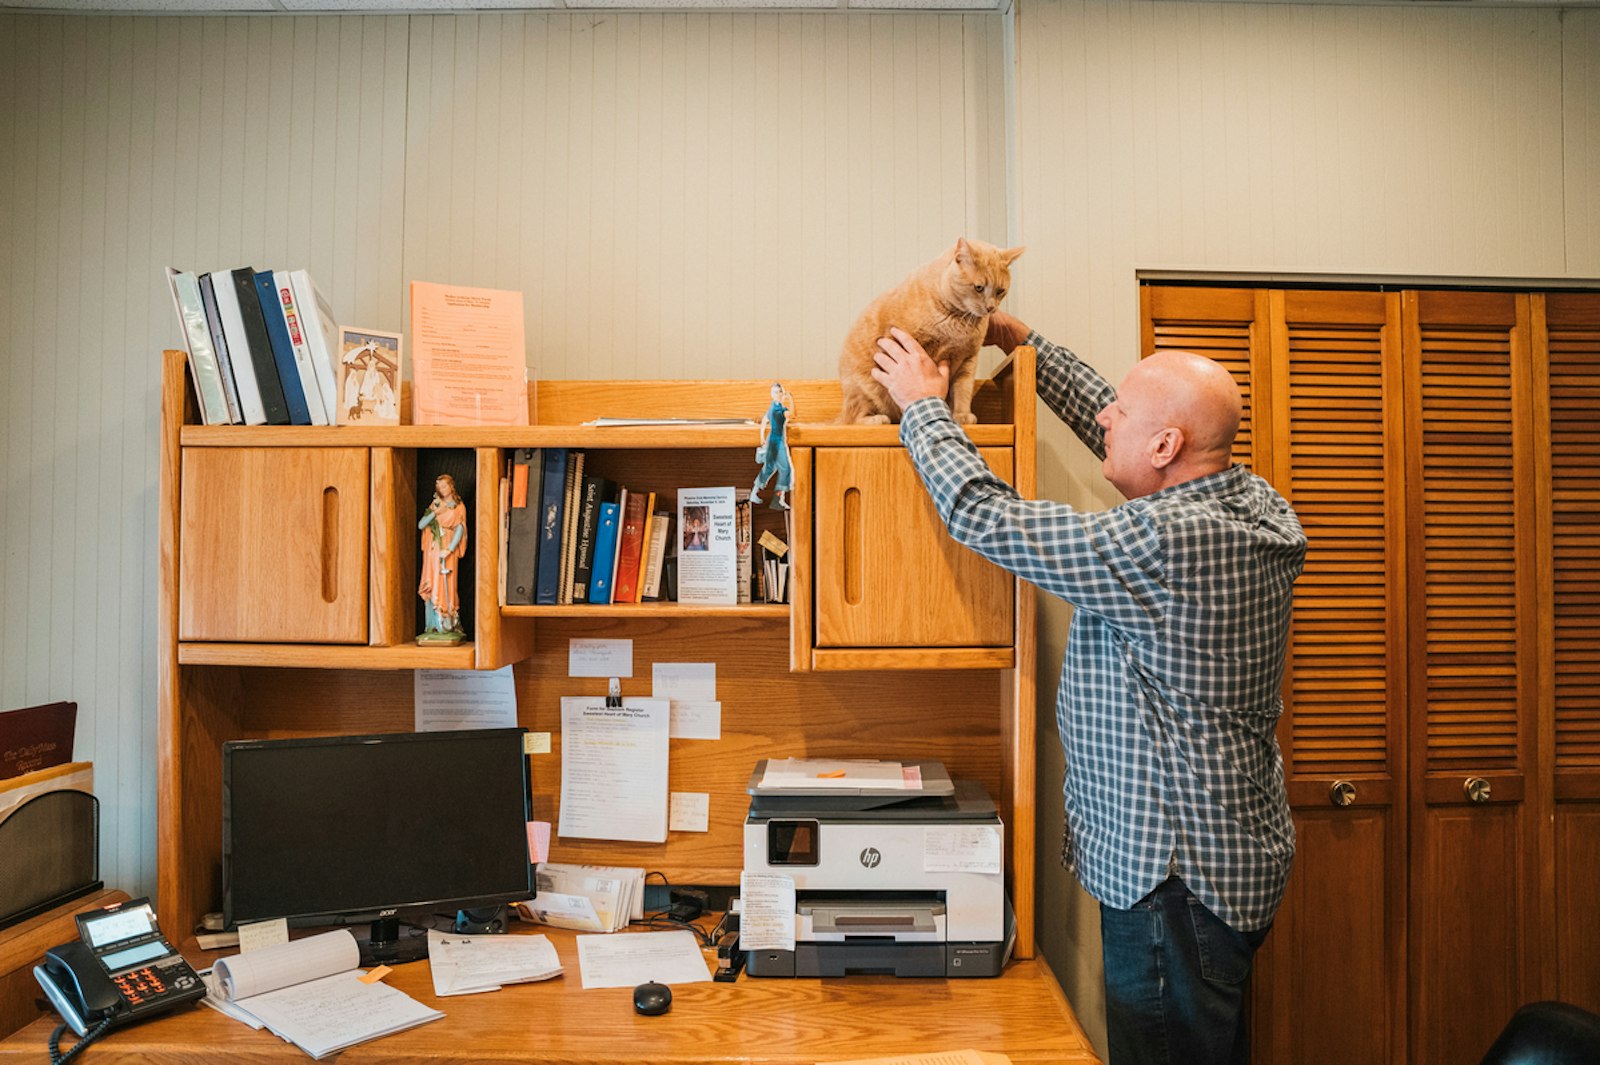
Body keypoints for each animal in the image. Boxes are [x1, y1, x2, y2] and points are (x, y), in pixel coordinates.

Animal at [838, 238, 1024, 425]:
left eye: (1000, 291)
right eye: (978, 288)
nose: (991, 308)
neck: (958, 321)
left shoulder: (968, 361)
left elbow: (963, 391)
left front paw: (961, 414)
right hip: (864, 391)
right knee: (853, 419)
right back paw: (876, 419)